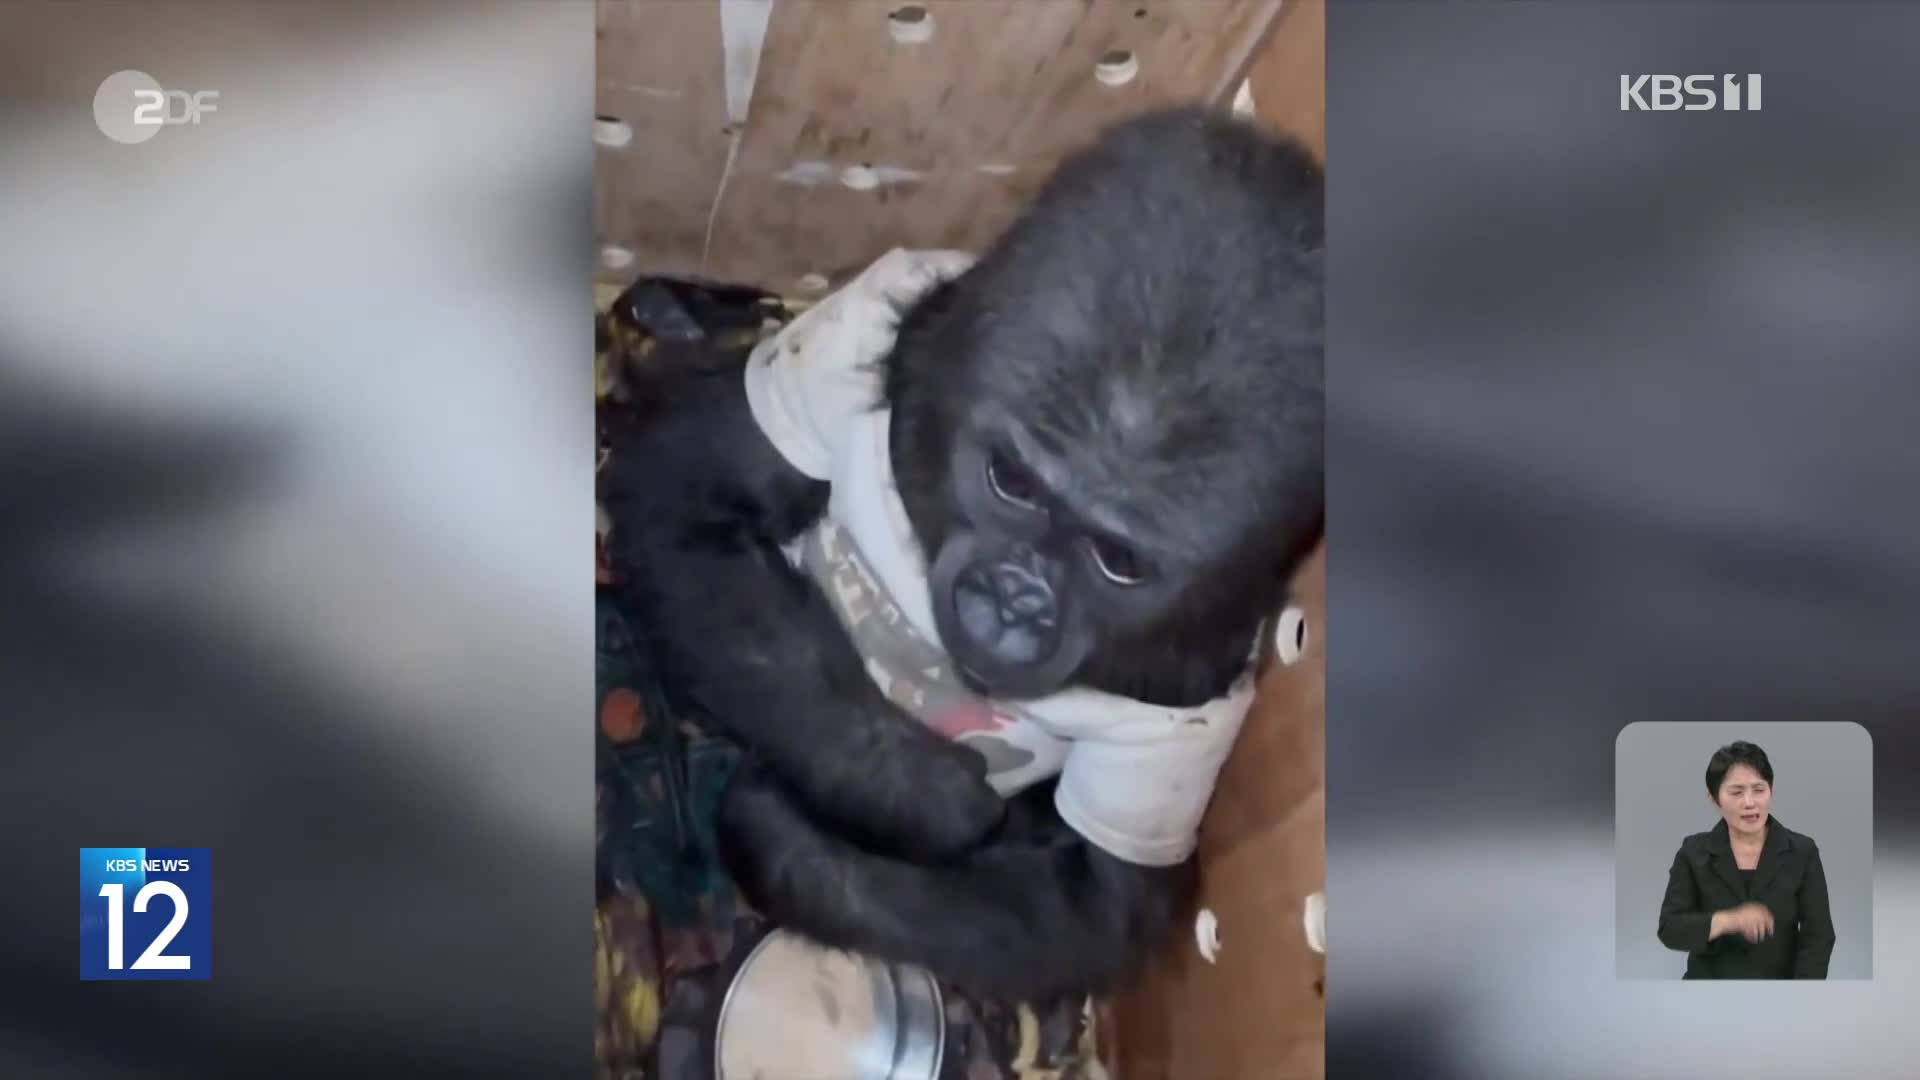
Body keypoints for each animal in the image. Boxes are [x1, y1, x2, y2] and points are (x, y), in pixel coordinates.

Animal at [599, 105, 1320, 999]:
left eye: (1118, 562)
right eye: (1010, 480)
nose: (1012, 602)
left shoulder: (1198, 715)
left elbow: (1088, 900)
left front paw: (788, 835)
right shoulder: (858, 330)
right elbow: (690, 495)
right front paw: (917, 787)